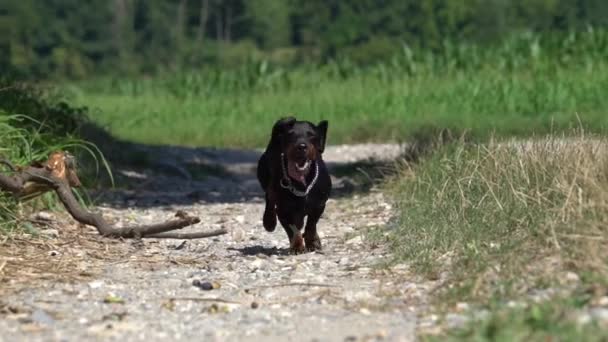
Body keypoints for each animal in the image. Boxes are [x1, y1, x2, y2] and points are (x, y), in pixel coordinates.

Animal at [256, 117, 332, 254]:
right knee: (269, 200)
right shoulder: (283, 210)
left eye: (311, 135)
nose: (301, 146)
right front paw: (297, 246)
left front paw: (312, 242)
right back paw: (269, 221)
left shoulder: (319, 205)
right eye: (291, 135)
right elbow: (293, 230)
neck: (301, 183)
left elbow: (311, 225)